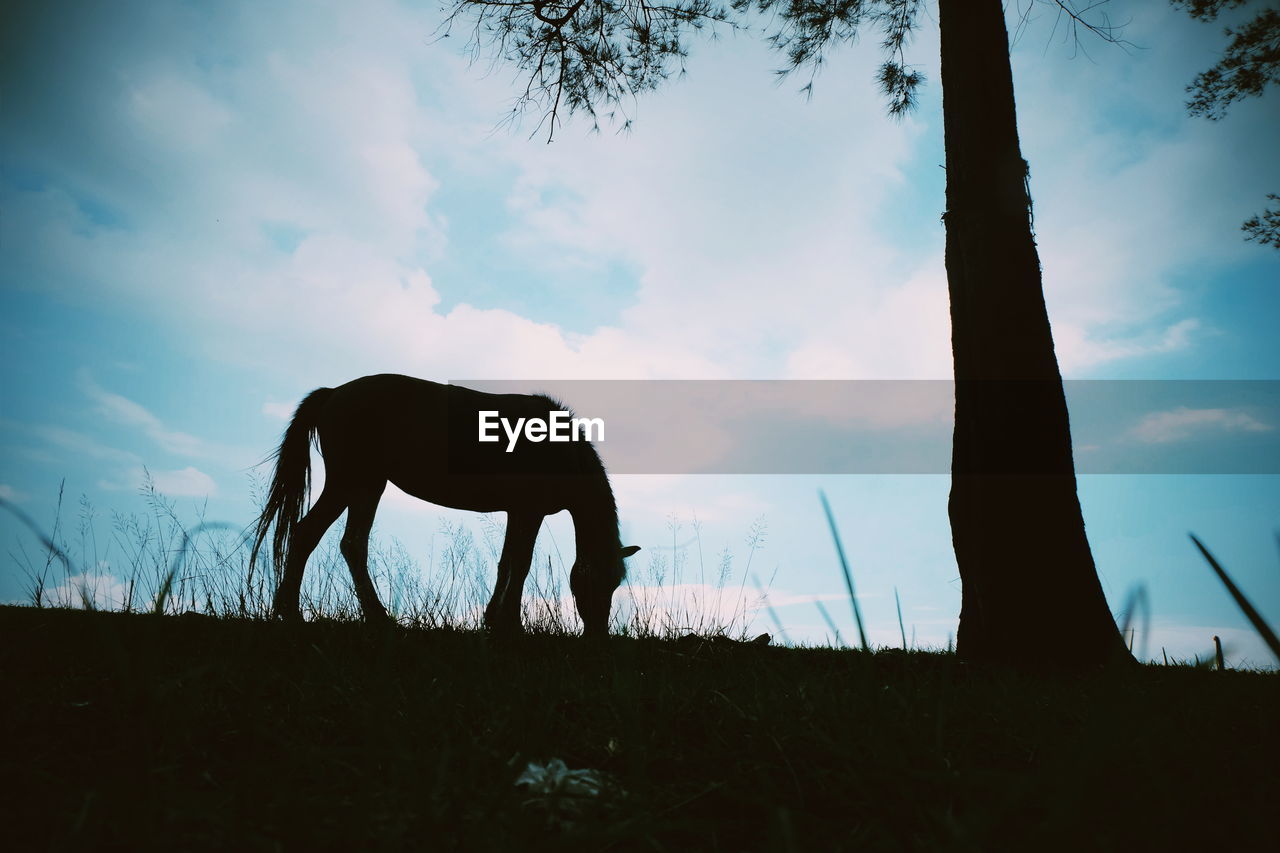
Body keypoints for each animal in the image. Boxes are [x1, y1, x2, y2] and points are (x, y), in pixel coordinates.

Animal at [247, 371, 637, 630]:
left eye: (615, 584)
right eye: (595, 580)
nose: (598, 635)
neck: (558, 448)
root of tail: (333, 394)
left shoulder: (519, 511)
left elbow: (507, 562)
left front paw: (493, 619)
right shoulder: (529, 511)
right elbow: (521, 563)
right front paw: (511, 625)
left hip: (368, 486)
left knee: (350, 543)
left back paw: (372, 617)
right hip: (350, 481)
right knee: (308, 534)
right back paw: (295, 613)